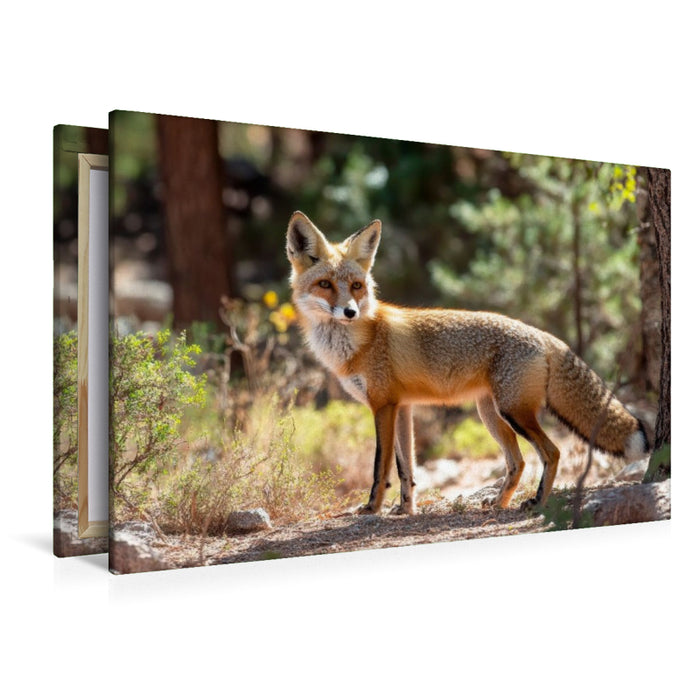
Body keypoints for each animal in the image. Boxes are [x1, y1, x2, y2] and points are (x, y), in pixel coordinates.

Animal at [286, 211, 650, 515]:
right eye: (325, 285)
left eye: (356, 286)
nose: (350, 312)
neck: (358, 342)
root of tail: (544, 335)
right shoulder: (401, 408)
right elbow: (406, 469)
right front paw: (405, 509)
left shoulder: (382, 405)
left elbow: (380, 467)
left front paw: (372, 508)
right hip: (491, 414)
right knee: (517, 462)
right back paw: (500, 503)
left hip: (513, 412)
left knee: (551, 452)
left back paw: (536, 502)